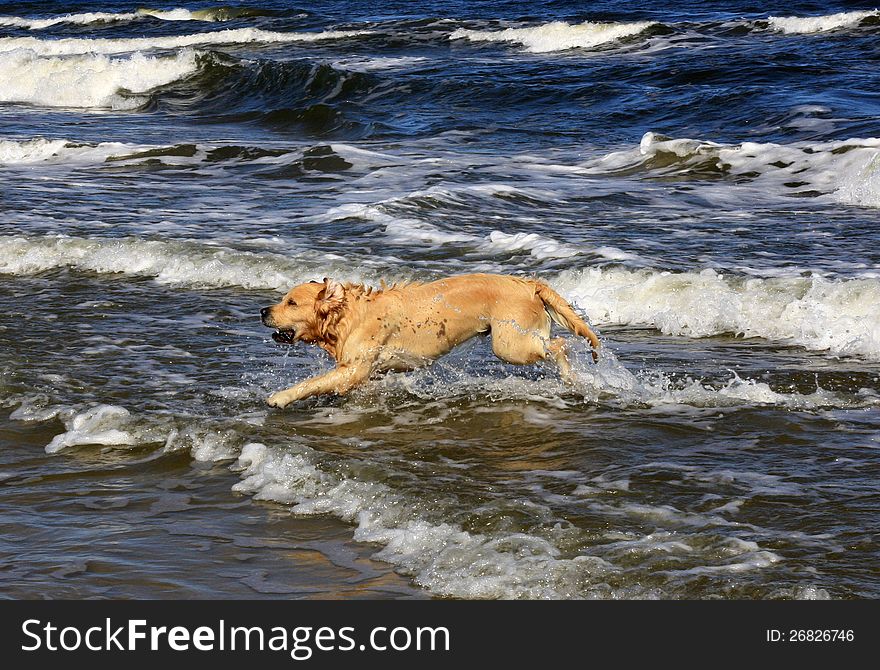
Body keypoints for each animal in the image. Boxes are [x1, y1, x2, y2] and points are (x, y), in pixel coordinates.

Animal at [260, 274, 600, 410]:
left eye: (291, 302)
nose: (263, 311)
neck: (347, 316)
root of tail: (530, 284)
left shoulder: (353, 369)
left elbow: (311, 382)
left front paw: (280, 397)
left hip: (509, 345)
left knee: (559, 346)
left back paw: (572, 377)